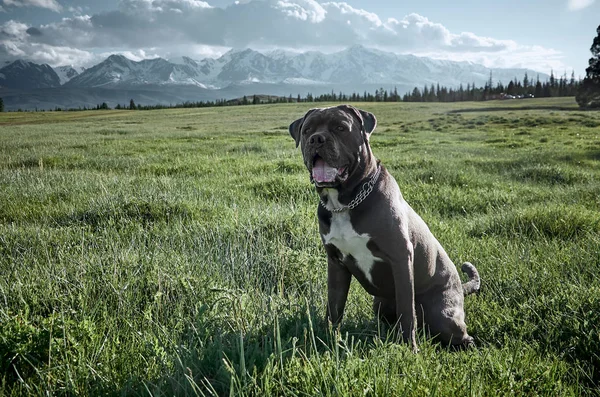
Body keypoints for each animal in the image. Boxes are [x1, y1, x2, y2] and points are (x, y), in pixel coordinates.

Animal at [288, 104, 480, 350]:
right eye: (307, 130)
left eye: (341, 127)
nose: (317, 139)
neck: (346, 202)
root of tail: (460, 289)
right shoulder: (336, 263)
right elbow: (334, 307)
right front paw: (328, 338)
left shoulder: (400, 257)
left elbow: (407, 310)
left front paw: (410, 348)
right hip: (379, 304)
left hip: (444, 316)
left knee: (457, 334)